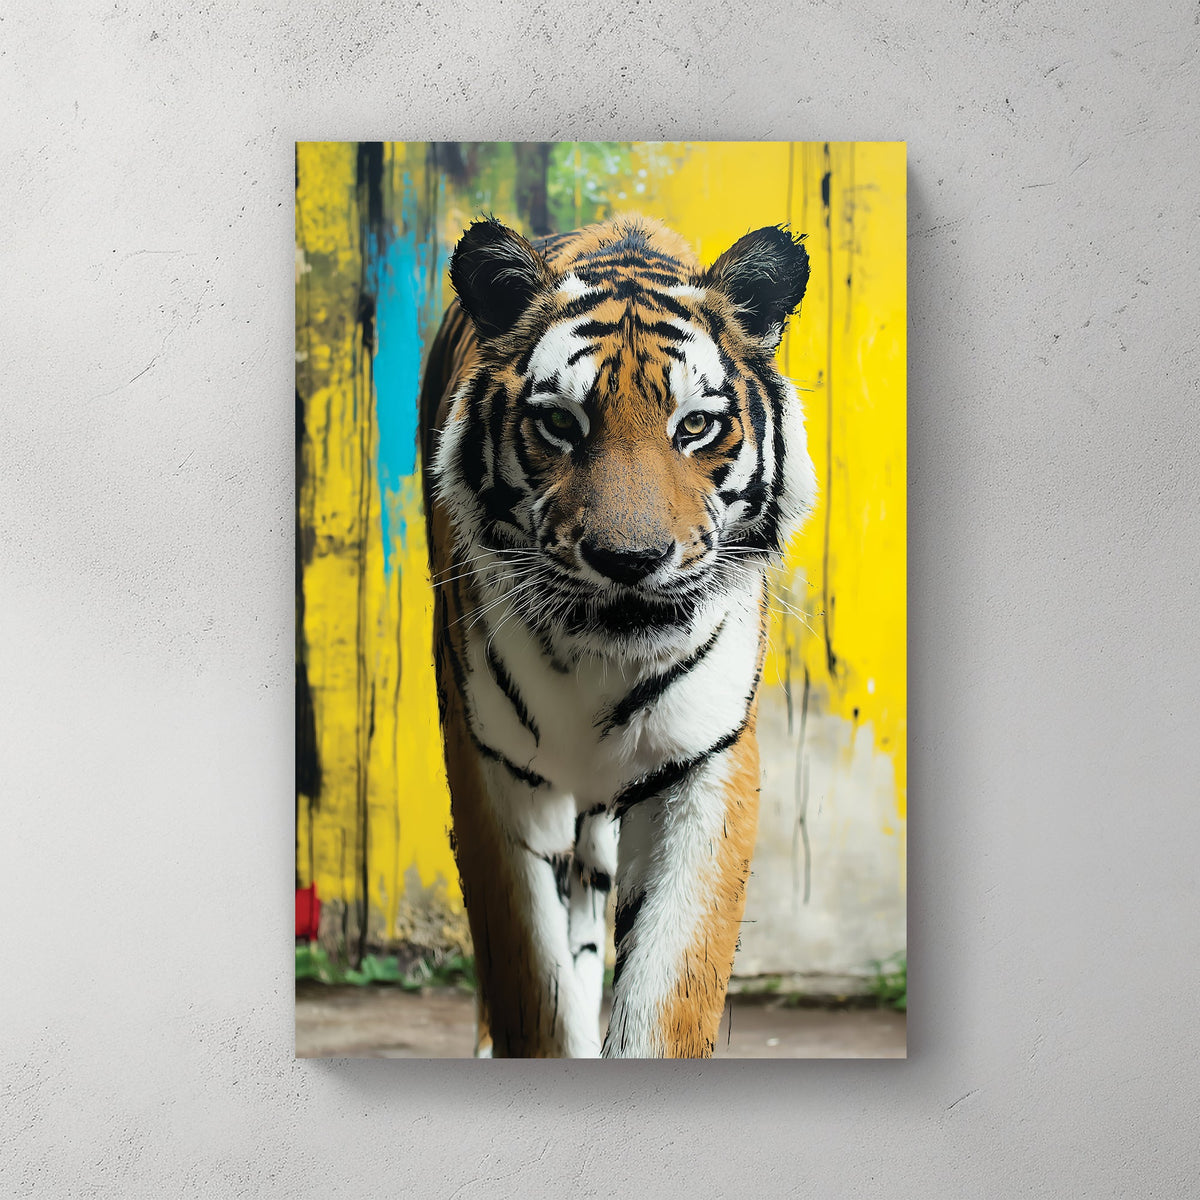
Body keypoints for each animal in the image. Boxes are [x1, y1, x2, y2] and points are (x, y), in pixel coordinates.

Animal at [418, 212, 815, 1058]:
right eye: (559, 424)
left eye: (695, 426)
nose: (630, 561)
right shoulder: (492, 770)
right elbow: (532, 986)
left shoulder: (706, 763)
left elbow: (667, 993)